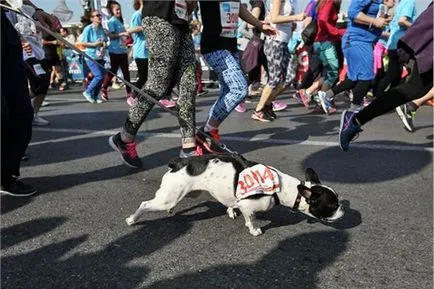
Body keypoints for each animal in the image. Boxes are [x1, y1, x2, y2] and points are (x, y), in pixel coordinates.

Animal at [125, 153, 342, 234]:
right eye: (332, 205)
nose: (342, 210)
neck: (281, 188)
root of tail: (178, 162)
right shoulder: (249, 205)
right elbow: (251, 219)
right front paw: (254, 230)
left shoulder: (237, 200)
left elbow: (234, 206)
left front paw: (232, 212)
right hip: (168, 197)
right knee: (145, 204)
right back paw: (132, 219)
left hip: (184, 193)